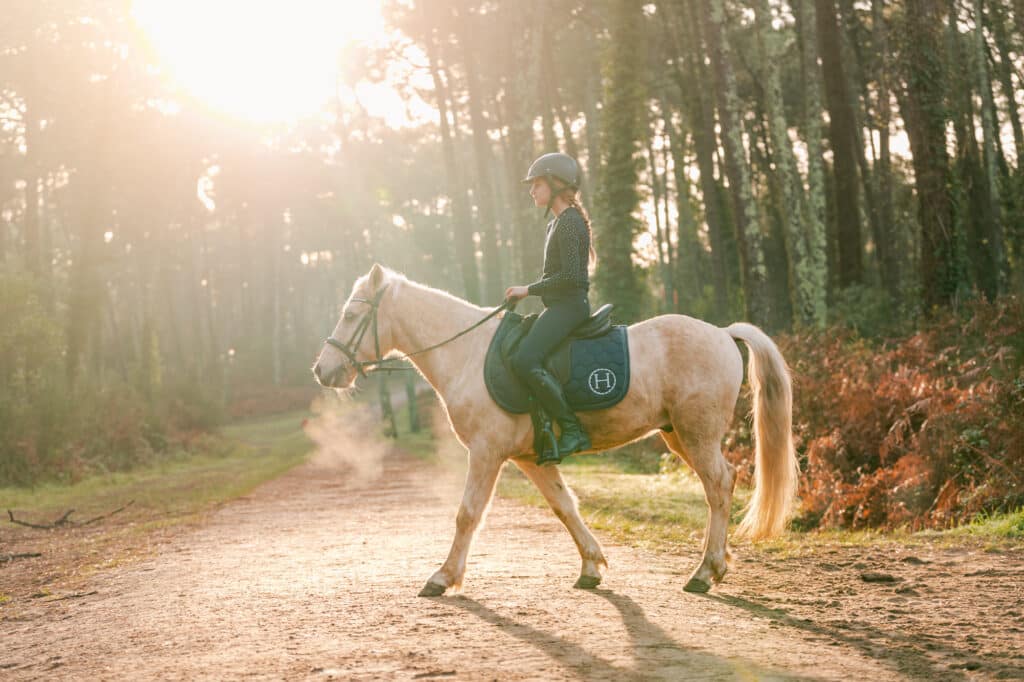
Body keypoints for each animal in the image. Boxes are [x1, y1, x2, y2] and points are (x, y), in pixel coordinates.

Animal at [312, 263, 798, 596]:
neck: (468, 354)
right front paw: (591, 566)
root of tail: (722, 332)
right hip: (677, 435)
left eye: (352, 315)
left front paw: (443, 577)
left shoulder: (486, 453)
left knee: (718, 485)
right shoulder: (531, 459)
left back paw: (704, 571)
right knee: (720, 485)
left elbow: (467, 513)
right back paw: (716, 566)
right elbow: (565, 507)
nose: (323, 370)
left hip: (697, 435)